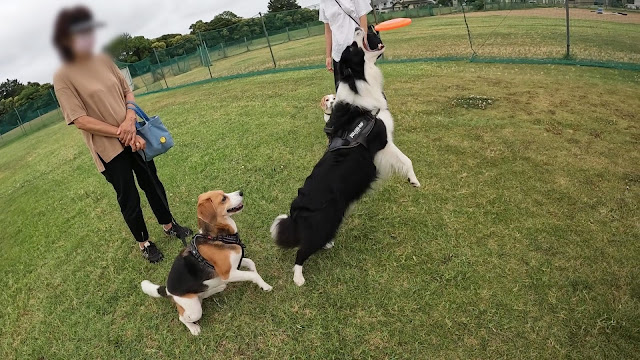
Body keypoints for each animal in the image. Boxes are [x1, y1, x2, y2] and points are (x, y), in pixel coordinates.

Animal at [270, 28, 420, 286]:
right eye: (352, 48)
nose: (363, 28)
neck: (359, 85)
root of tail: (297, 211)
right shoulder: (382, 142)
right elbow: (405, 159)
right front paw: (414, 180)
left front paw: (413, 181)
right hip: (324, 223)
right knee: (301, 252)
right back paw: (299, 279)